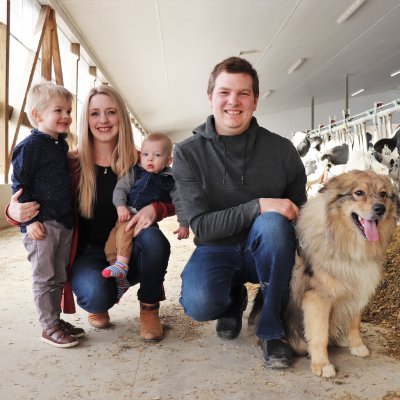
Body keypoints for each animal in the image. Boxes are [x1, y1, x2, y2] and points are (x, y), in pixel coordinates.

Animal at [250, 170, 396, 376]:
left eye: (383, 194)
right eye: (359, 193)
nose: (380, 209)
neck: (347, 245)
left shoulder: (358, 287)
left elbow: (355, 323)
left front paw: (356, 345)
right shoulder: (318, 298)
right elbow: (320, 334)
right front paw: (322, 364)